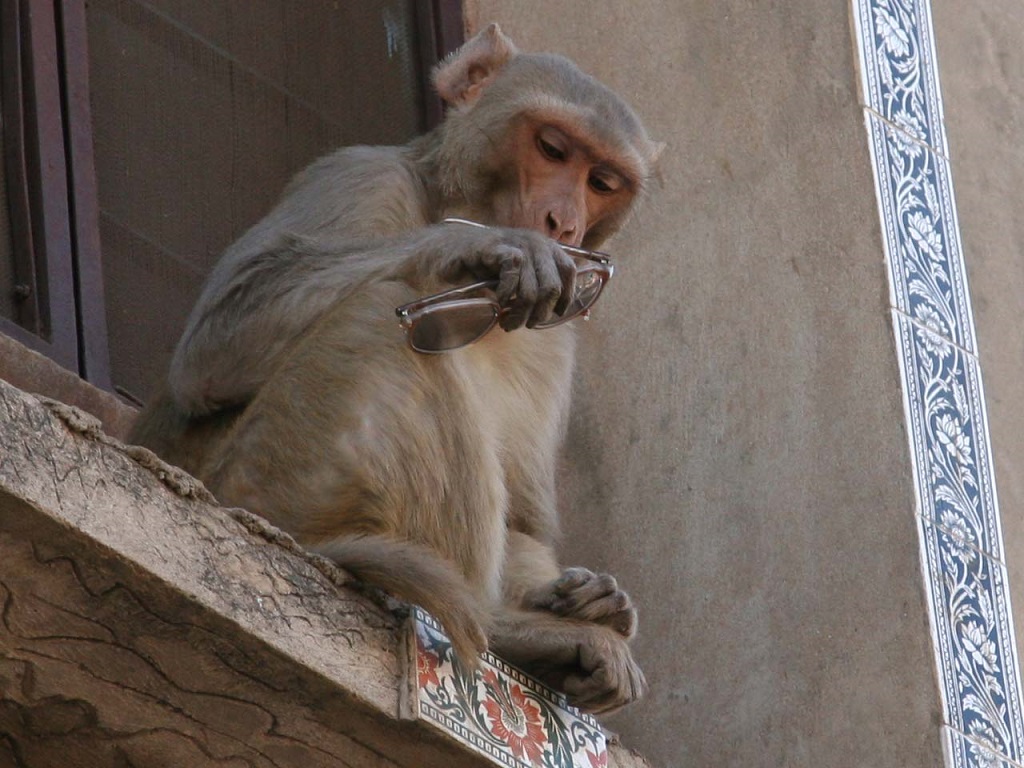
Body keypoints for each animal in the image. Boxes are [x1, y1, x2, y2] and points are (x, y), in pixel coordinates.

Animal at [130, 24, 661, 714]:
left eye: (602, 180)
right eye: (551, 148)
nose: (561, 222)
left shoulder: (559, 330)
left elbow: (522, 517)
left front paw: (596, 600)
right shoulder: (358, 175)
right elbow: (213, 347)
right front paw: (474, 246)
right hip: (261, 484)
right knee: (378, 315)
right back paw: (503, 628)